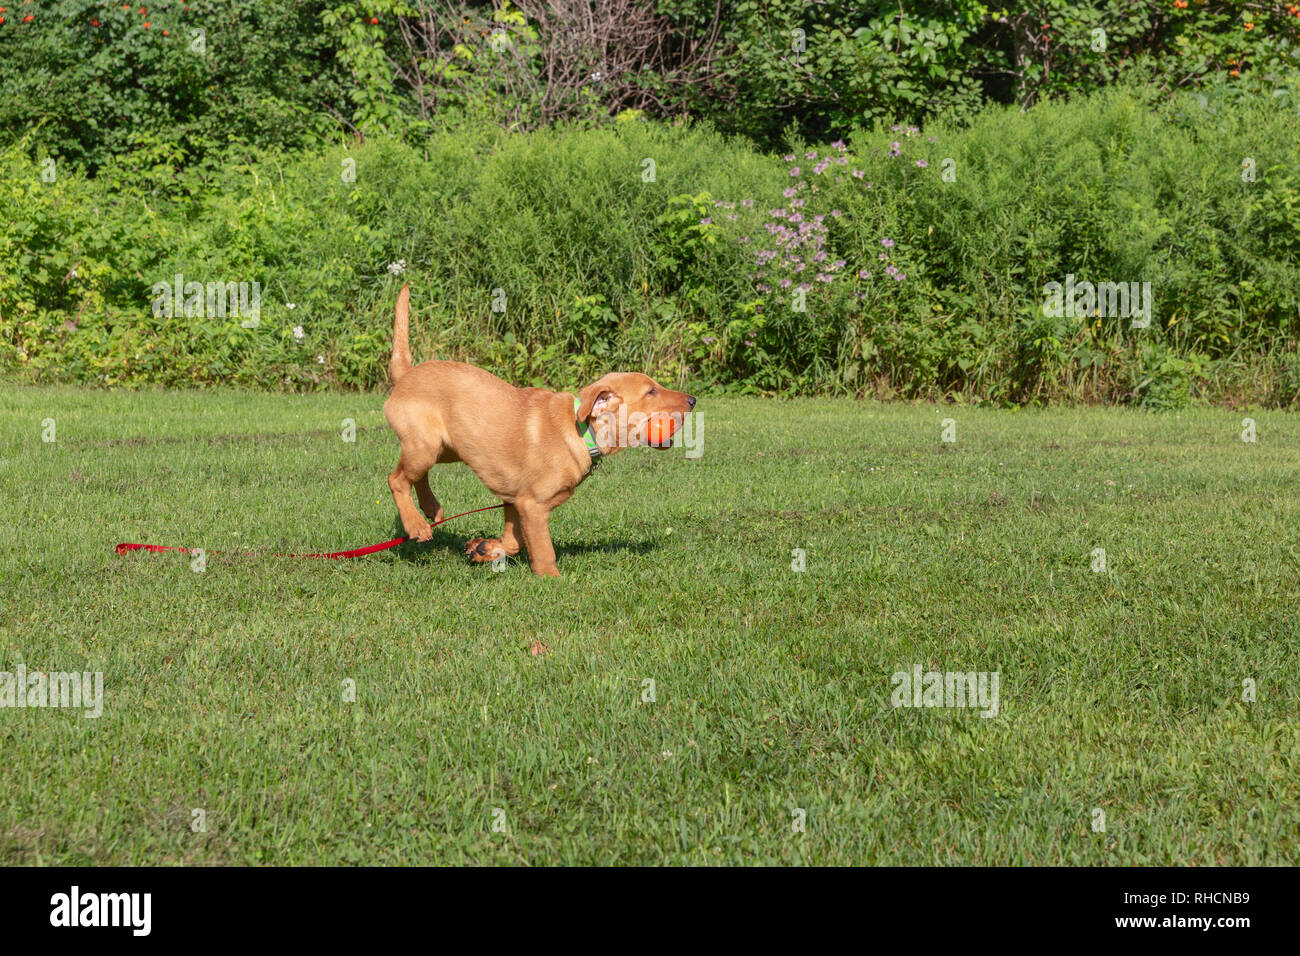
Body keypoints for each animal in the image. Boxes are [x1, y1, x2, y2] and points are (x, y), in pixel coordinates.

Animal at [382, 280, 696, 572]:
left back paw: (431, 508)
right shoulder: (533, 506)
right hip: (425, 445)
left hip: (445, 447)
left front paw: (483, 549)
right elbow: (544, 550)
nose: (693, 400)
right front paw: (551, 579)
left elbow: (513, 541)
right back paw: (416, 524)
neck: (580, 433)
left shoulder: (514, 500)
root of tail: (406, 375)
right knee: (396, 479)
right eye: (651, 392)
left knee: (416, 475)